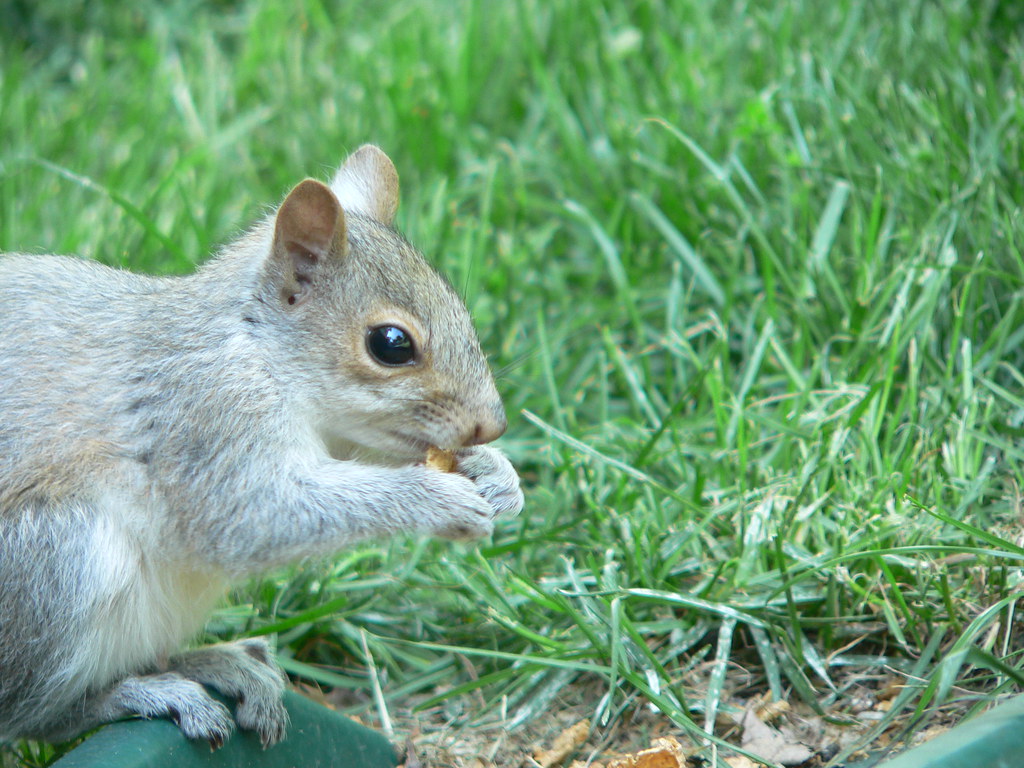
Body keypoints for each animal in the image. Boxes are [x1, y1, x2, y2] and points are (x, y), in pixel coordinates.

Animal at [0, 145, 524, 748]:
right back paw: (143, 694)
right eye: (391, 344)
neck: (255, 348)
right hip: (58, 563)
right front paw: (435, 499)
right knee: (34, 715)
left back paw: (219, 665)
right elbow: (253, 517)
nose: (491, 425)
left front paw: (496, 475)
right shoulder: (204, 420)